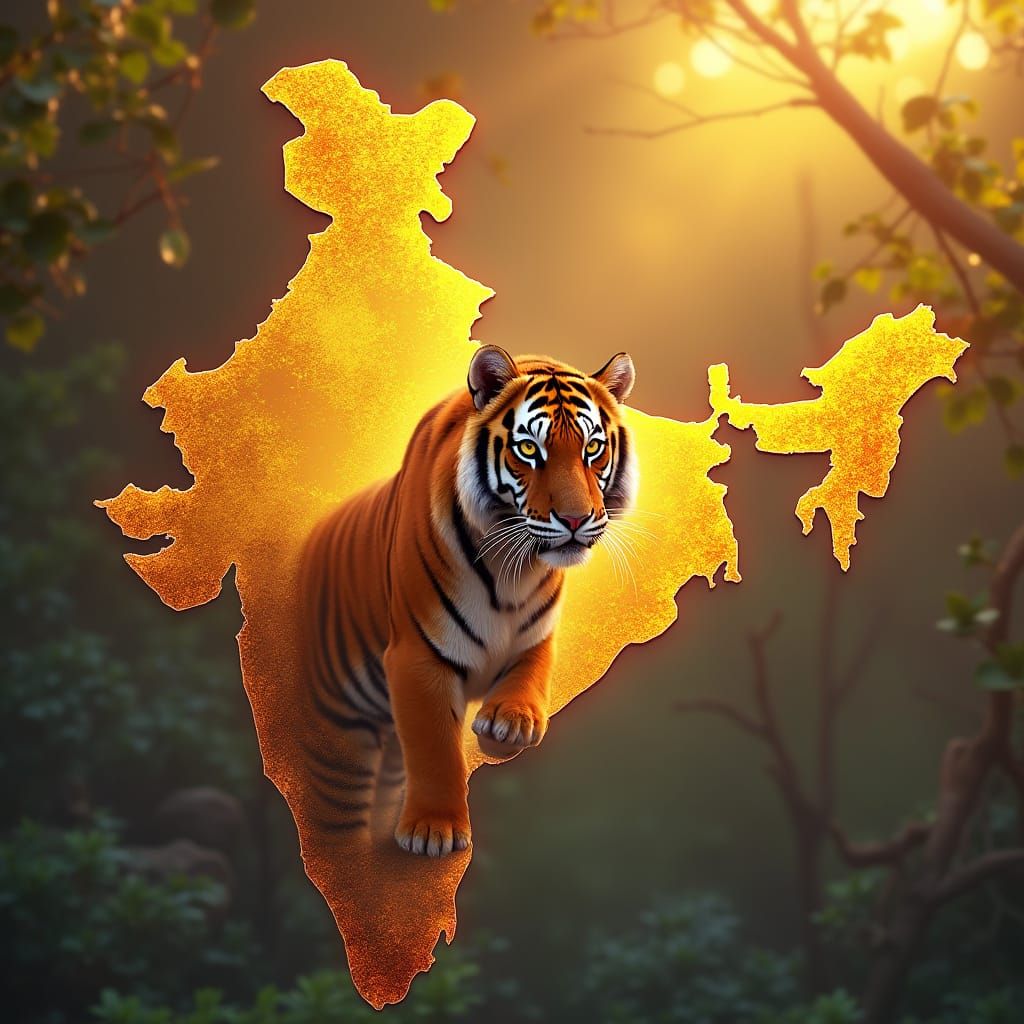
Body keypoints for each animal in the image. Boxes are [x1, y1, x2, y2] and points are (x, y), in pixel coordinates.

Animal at [299, 345, 637, 858]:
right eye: (529, 449)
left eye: (592, 448)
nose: (576, 520)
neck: (512, 569)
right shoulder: (417, 656)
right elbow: (434, 749)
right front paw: (432, 831)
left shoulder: (537, 637)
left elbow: (532, 674)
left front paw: (509, 724)